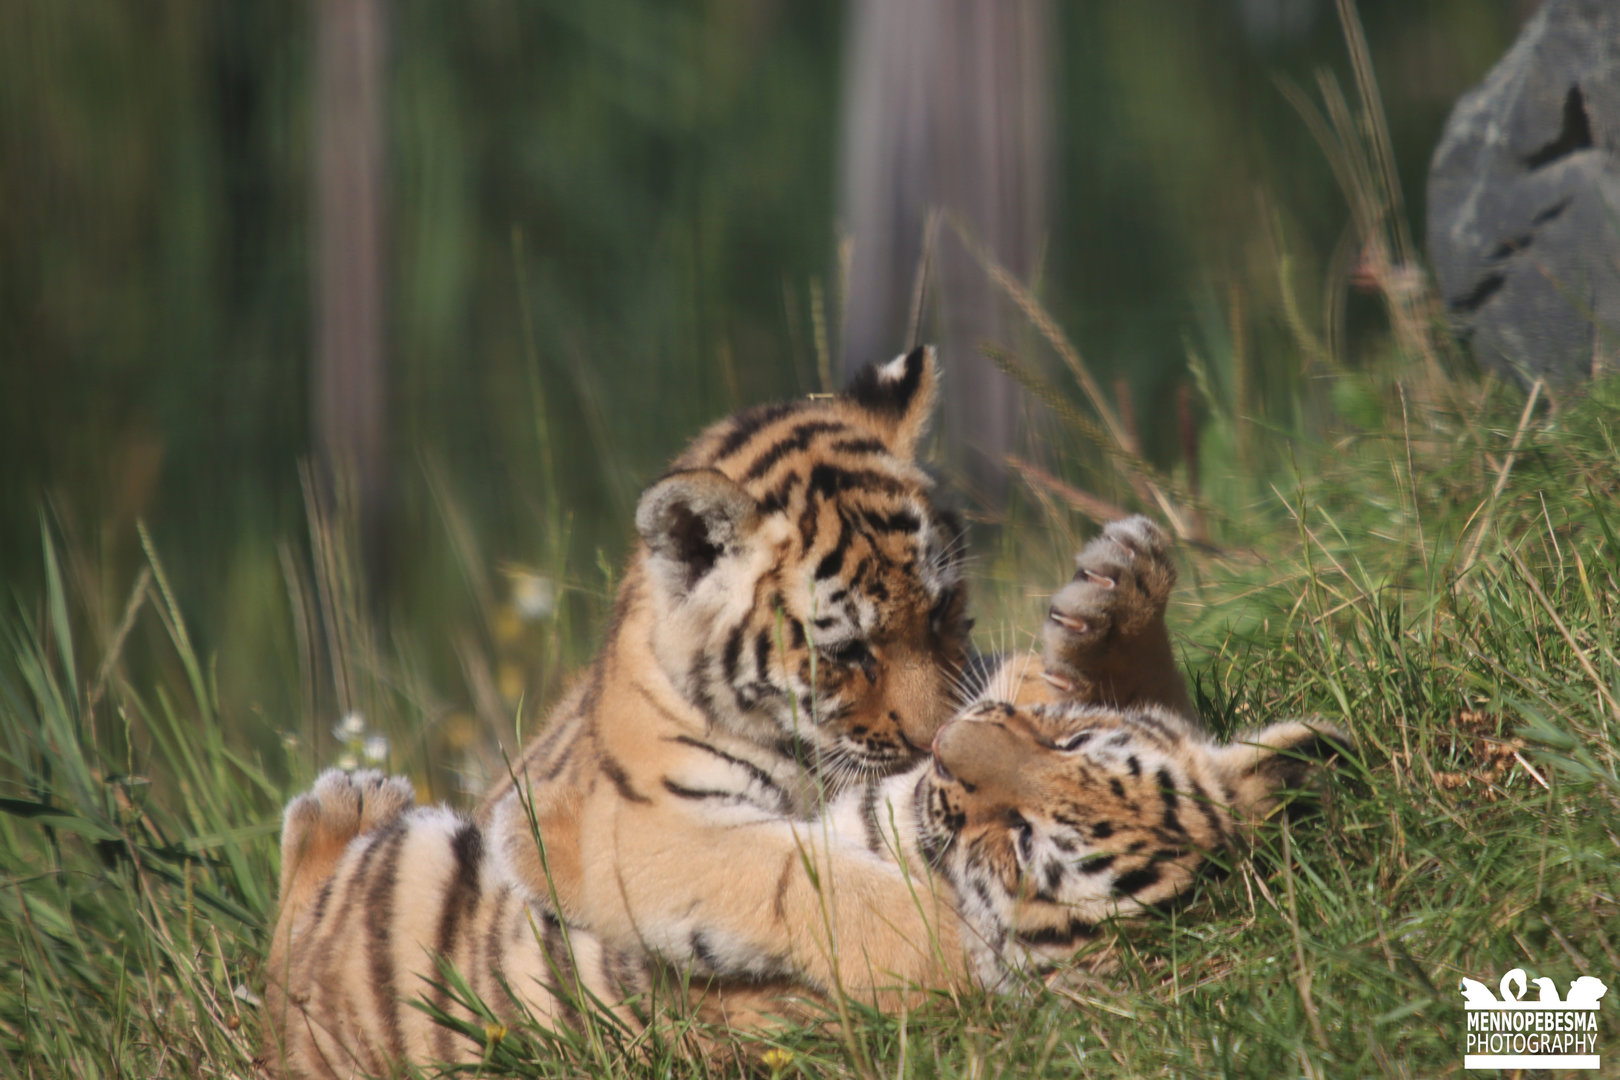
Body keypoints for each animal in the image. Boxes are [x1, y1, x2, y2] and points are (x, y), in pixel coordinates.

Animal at [260, 696, 1343, 1077]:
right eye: (1071, 743)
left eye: (1019, 844)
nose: (952, 748)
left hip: (408, 885)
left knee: (291, 937)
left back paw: (342, 802)